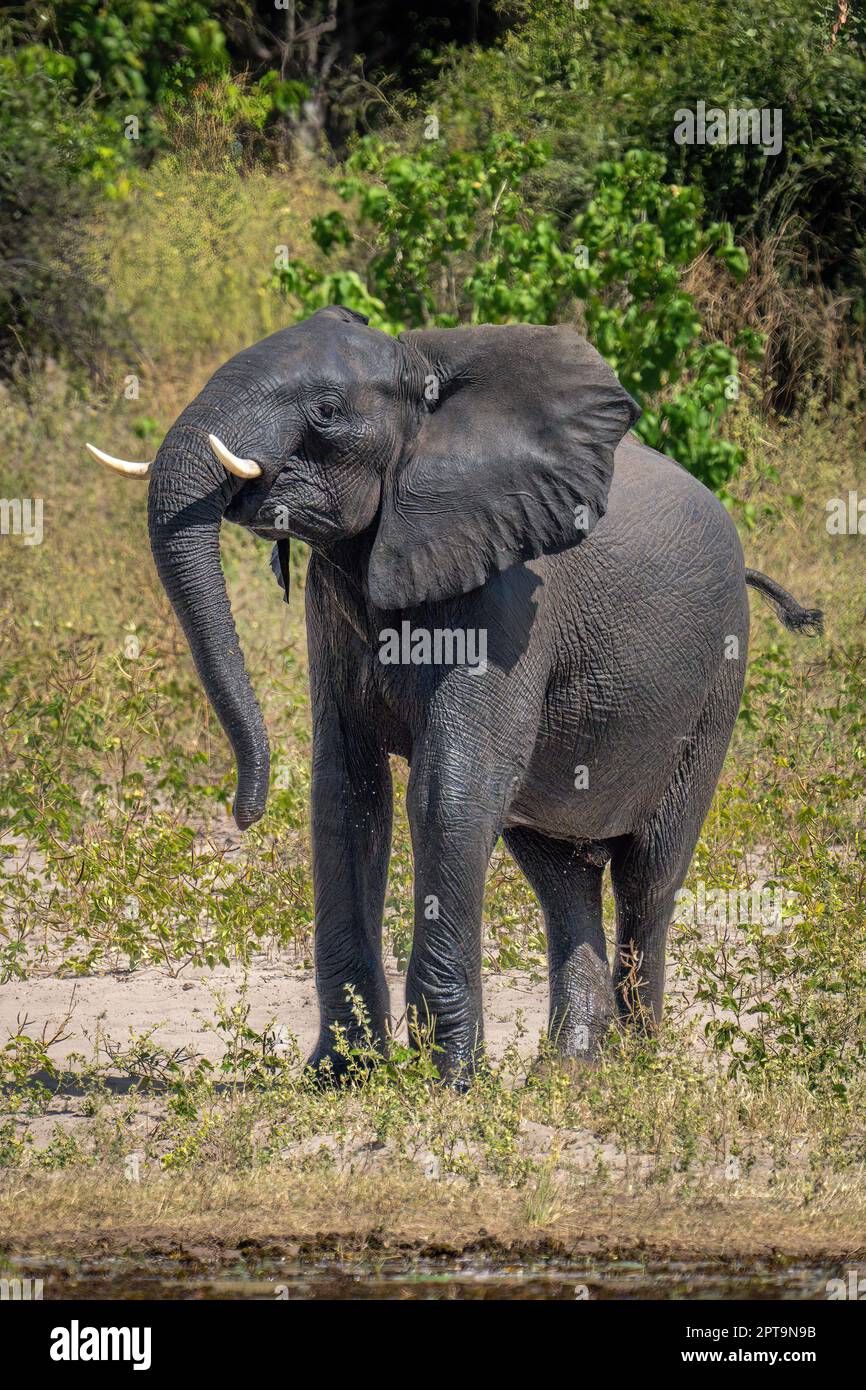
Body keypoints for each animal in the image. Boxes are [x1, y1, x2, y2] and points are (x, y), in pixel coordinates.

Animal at [87, 306, 822, 1084]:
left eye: (325, 411)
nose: (241, 814)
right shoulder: (332, 600)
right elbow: (347, 793)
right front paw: (341, 1077)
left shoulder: (506, 600)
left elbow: (451, 789)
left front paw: (448, 1083)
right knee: (560, 875)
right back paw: (566, 1073)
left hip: (715, 686)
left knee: (649, 875)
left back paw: (637, 1067)